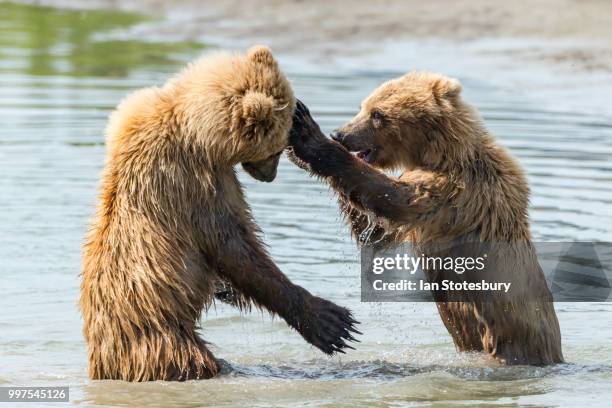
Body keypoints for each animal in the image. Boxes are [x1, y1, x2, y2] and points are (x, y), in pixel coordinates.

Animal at [80, 46, 358, 380]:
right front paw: (329, 320)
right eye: (276, 149)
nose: (271, 176)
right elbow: (232, 244)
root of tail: (103, 358)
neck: (196, 132)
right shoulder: (195, 182)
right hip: (162, 340)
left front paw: (227, 290)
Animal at [286, 71, 564, 364]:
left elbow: (394, 199)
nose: (339, 134)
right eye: (363, 106)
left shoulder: (460, 192)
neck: (442, 154)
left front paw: (307, 135)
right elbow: (376, 232)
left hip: (511, 336)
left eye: (377, 113)